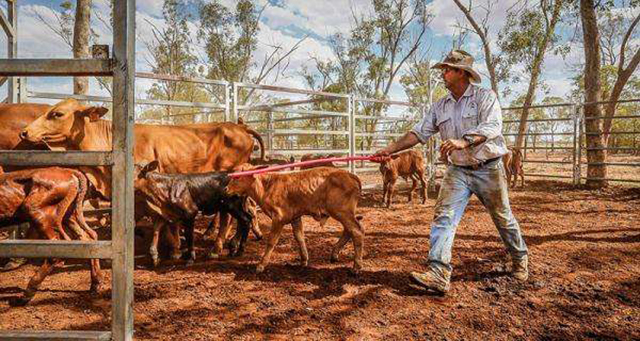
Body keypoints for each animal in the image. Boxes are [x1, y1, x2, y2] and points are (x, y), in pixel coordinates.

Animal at [0, 166, 100, 304]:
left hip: (37, 212)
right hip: (70, 215)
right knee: (88, 237)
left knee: (57, 246)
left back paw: (28, 293)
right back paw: (95, 283)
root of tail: (70, 172)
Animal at [226, 166, 364, 272]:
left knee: (357, 231)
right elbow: (299, 237)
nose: (226, 189)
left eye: (237, 177)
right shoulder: (295, 217)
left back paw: (356, 266)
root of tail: (350, 175)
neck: (267, 186)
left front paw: (261, 265)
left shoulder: (278, 218)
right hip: (344, 213)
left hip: (341, 212)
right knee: (349, 230)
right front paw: (304, 260)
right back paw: (335, 254)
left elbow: (271, 241)